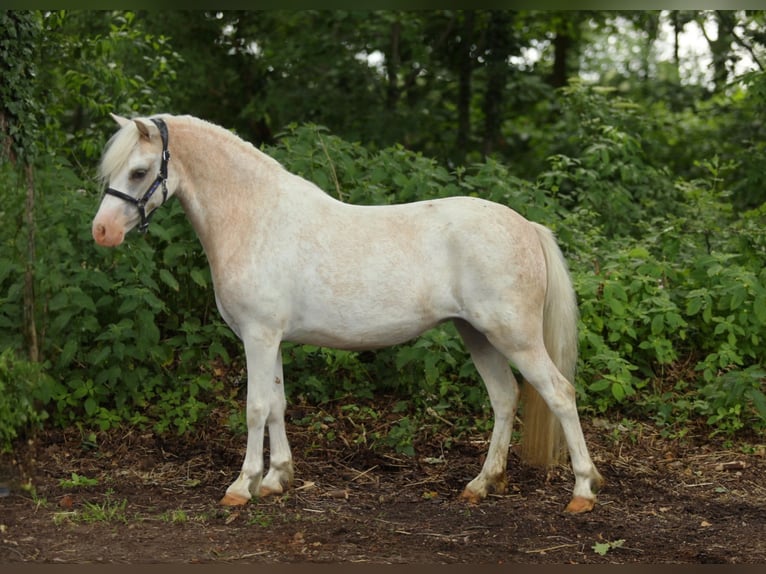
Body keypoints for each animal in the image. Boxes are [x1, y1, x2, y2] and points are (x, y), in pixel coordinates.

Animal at [92, 113, 603, 513]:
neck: (255, 218)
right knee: (504, 398)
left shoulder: (258, 336)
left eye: (139, 171)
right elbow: (277, 404)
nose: (102, 232)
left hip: (515, 336)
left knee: (559, 393)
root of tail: (527, 226)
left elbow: (255, 408)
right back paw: (481, 484)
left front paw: (241, 486)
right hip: (476, 334)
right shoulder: (272, 339)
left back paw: (582, 491)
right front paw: (276, 479)